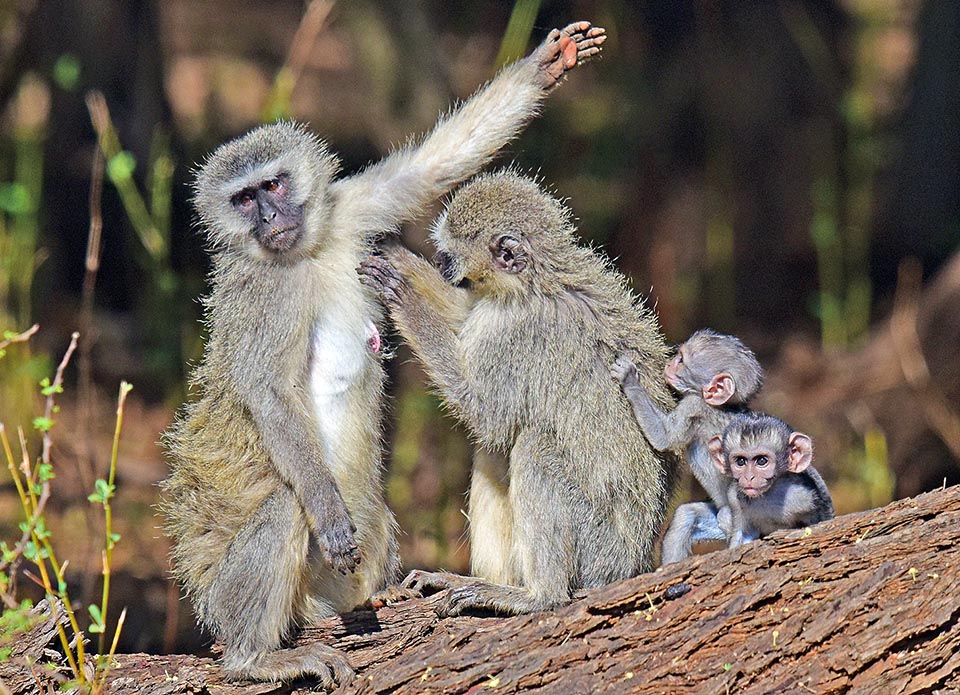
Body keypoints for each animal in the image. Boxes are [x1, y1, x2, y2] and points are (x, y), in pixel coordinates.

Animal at [161, 24, 604, 688]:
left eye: (273, 185)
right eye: (242, 200)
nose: (269, 218)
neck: (305, 255)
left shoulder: (347, 213)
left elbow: (424, 171)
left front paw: (546, 65)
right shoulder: (263, 290)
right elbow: (268, 393)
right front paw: (327, 516)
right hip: (249, 588)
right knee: (286, 507)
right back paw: (254, 659)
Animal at [360, 171, 676, 616]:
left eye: (449, 256)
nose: (439, 264)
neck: (535, 282)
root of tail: (633, 563)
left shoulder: (512, 334)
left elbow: (485, 415)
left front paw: (401, 294)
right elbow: (462, 313)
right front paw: (390, 248)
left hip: (598, 551)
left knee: (530, 443)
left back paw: (537, 596)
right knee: (496, 451)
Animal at [616, 328, 764, 564]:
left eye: (681, 360)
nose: (669, 363)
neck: (723, 406)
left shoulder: (694, 405)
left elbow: (664, 437)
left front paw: (630, 379)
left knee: (727, 517)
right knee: (687, 516)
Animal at [708, 410, 836, 548]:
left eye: (761, 461)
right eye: (740, 461)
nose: (748, 477)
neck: (768, 494)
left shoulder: (805, 497)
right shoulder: (734, 498)